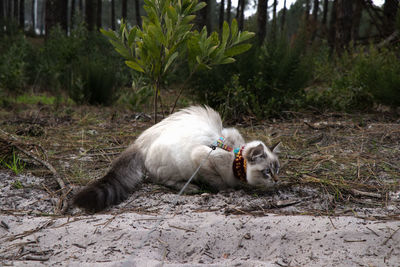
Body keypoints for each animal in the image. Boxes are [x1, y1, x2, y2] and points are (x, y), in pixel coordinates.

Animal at [75, 105, 282, 213]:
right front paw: (227, 189)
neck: (234, 156)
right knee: (162, 180)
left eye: (277, 169)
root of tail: (140, 142)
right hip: (176, 165)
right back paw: (190, 187)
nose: (276, 180)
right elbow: (218, 181)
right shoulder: (202, 158)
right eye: (267, 172)